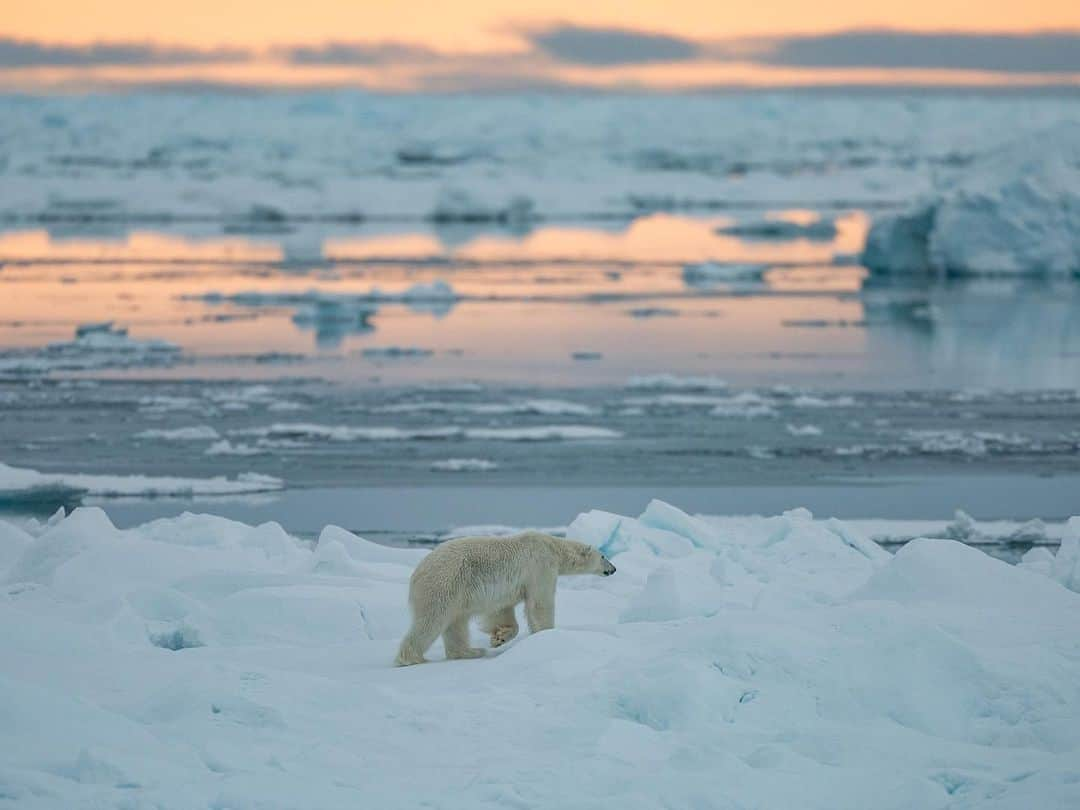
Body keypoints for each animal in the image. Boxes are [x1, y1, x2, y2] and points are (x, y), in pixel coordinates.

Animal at [395, 529, 617, 669]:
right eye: (603, 556)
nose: (613, 569)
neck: (552, 546)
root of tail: (417, 572)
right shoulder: (540, 565)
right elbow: (540, 603)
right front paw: (547, 634)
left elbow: (501, 610)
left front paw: (499, 637)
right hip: (443, 583)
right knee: (432, 620)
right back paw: (411, 658)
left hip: (456, 593)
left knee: (456, 623)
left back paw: (471, 651)